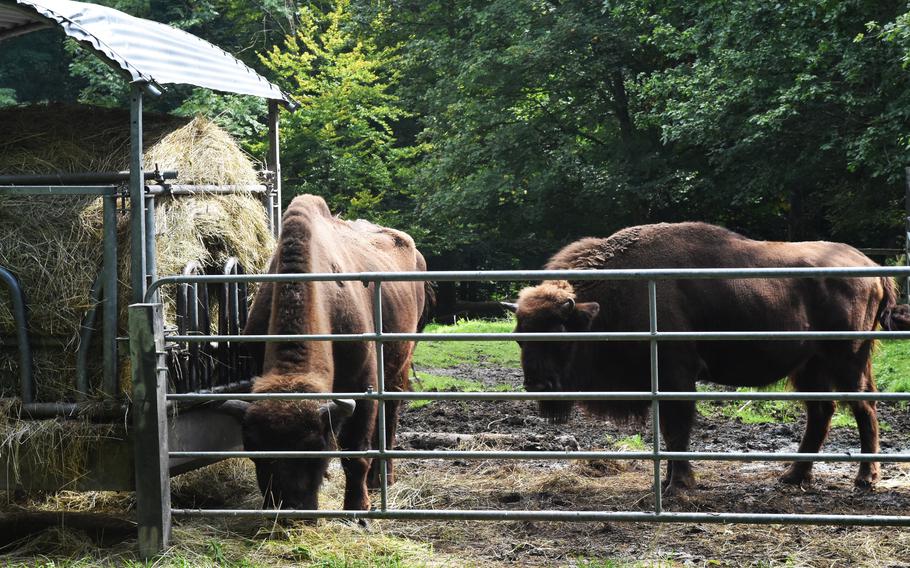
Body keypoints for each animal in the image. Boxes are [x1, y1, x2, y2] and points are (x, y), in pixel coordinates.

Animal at [230, 194, 426, 510]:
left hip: (401, 363)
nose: (290, 507)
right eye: (254, 449)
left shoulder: (362, 384)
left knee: (391, 413)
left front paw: (357, 507)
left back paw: (382, 478)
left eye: (315, 448)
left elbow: (355, 454)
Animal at [512, 222, 910, 492]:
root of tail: (872, 267)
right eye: (519, 338)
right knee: (822, 413)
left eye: (561, 336)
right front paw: (668, 482)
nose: (538, 385)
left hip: (848, 359)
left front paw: (678, 485)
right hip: (810, 367)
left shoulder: (676, 375)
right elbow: (669, 431)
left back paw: (865, 479)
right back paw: (793, 475)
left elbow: (678, 429)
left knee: (863, 407)